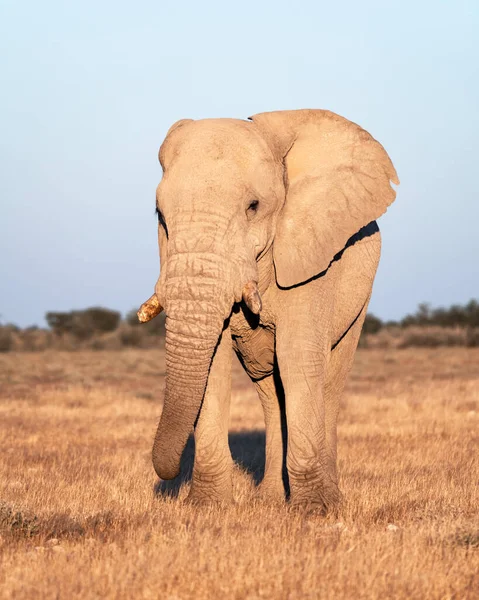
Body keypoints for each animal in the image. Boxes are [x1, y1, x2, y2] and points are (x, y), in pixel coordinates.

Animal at [137, 109, 400, 510]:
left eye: (253, 207)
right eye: (159, 215)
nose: (169, 475)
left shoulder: (312, 256)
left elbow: (298, 357)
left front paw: (316, 512)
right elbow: (214, 366)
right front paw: (207, 508)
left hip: (361, 293)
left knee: (327, 383)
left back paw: (328, 498)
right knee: (272, 395)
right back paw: (271, 502)